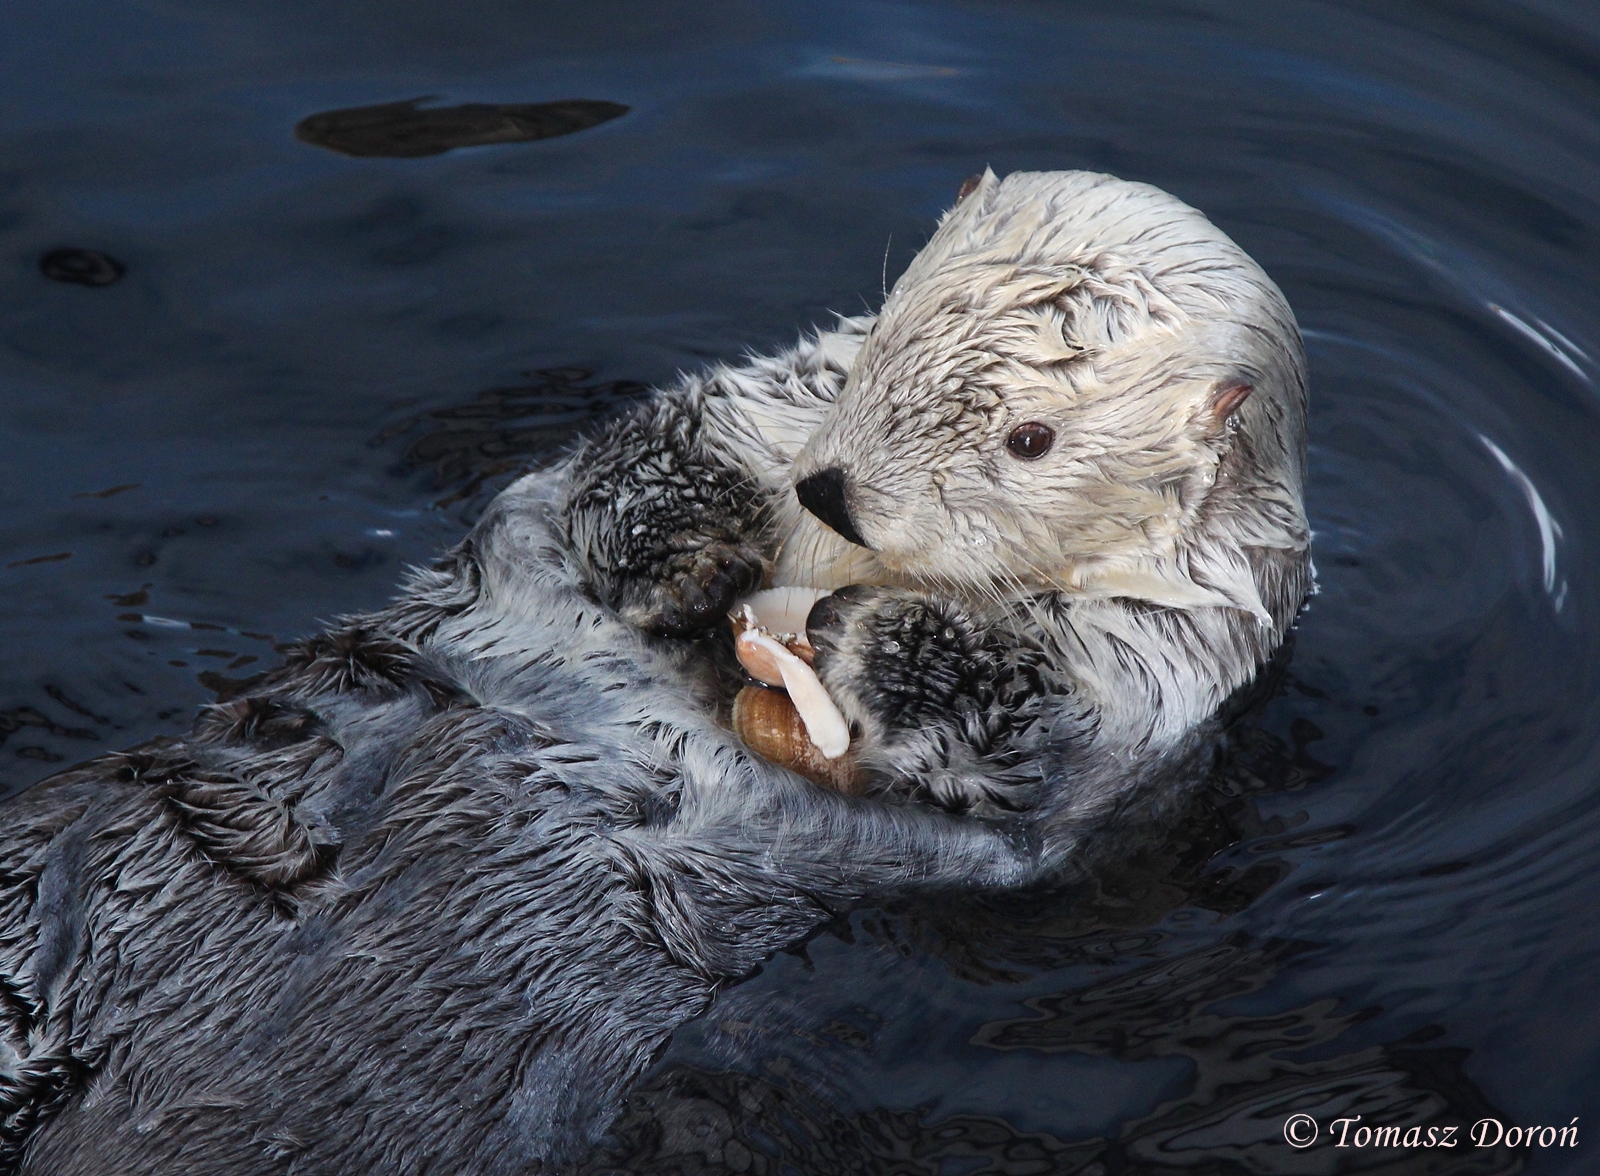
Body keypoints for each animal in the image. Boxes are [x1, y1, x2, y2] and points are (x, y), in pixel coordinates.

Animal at [0, 170, 1308, 1175]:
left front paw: (865, 647)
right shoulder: (754, 405)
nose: (830, 496)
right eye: (879, 347)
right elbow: (636, 459)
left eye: (1029, 440)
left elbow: (1025, 730)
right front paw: (694, 544)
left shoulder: (1157, 681)